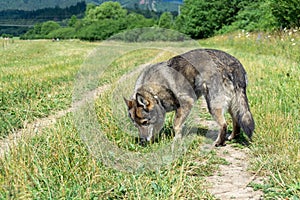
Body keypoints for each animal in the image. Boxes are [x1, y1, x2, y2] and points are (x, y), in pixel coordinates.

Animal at [123, 47, 254, 146]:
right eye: (135, 125)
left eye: (145, 122)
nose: (142, 142)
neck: (155, 91)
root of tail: (234, 65)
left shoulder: (186, 103)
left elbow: (176, 125)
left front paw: (176, 141)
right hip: (233, 104)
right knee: (236, 121)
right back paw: (232, 137)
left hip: (212, 105)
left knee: (224, 124)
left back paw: (219, 142)